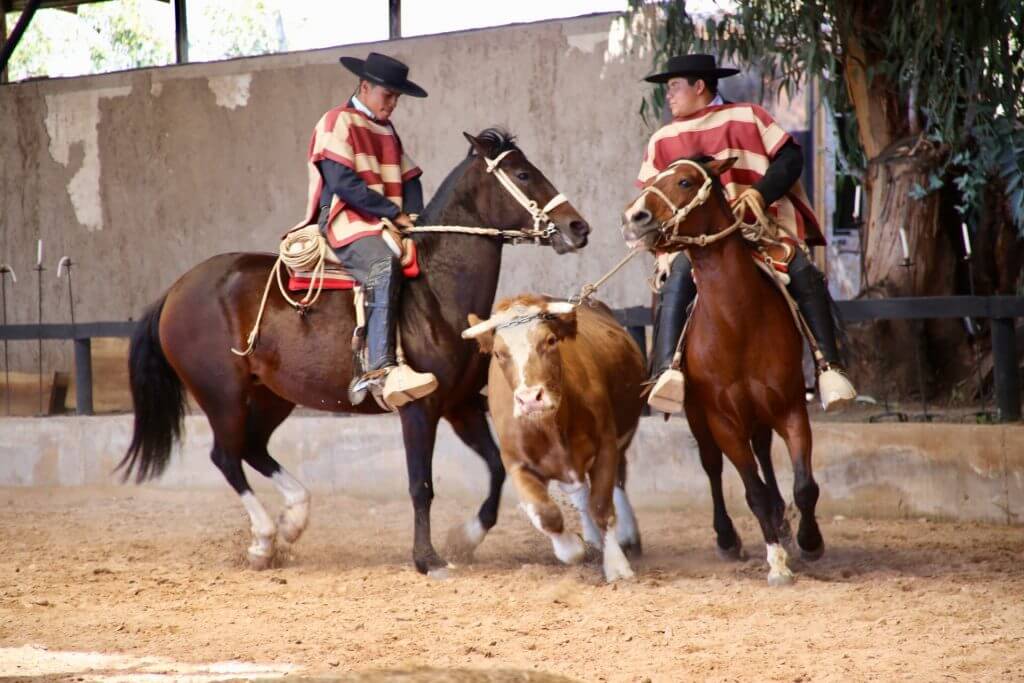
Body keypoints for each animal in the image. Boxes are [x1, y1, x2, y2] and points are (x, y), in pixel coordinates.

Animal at [117, 125, 593, 573]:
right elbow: (421, 485)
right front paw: (428, 559)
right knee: (227, 456)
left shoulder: (460, 406)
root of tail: (176, 290)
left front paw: (472, 538)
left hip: (272, 396)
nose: (578, 227)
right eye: (523, 174)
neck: (437, 292)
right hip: (222, 395)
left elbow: (497, 468)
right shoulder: (419, 409)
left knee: (251, 447)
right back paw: (265, 537)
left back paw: (292, 520)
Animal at [462, 294, 643, 581]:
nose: (530, 399)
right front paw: (572, 546)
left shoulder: (606, 446)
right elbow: (547, 514)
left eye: (549, 341)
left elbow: (601, 506)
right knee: (579, 493)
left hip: (621, 439)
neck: (551, 427)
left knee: (616, 481)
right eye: (499, 353)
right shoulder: (517, 463)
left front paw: (616, 564)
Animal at [614, 157, 823, 585]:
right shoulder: (722, 420)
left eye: (684, 181)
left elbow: (804, 485)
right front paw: (776, 561)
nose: (633, 217)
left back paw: (783, 521)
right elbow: (751, 491)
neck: (738, 321)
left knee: (763, 452)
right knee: (712, 467)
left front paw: (809, 541)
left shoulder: (791, 407)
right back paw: (728, 537)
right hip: (699, 416)